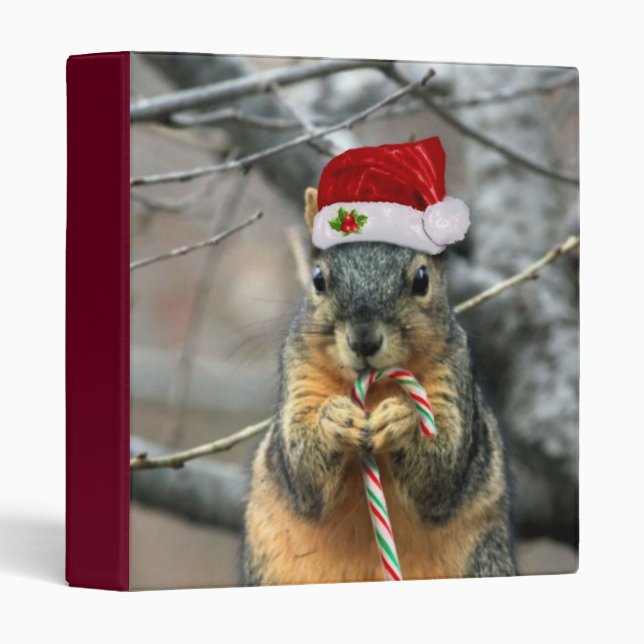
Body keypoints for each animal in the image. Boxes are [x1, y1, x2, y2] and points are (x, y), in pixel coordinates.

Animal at [241, 183, 516, 585]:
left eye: (422, 279)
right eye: (318, 279)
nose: (364, 341)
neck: (373, 390)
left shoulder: (452, 377)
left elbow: (442, 469)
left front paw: (401, 420)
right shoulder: (299, 374)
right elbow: (301, 469)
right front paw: (334, 420)